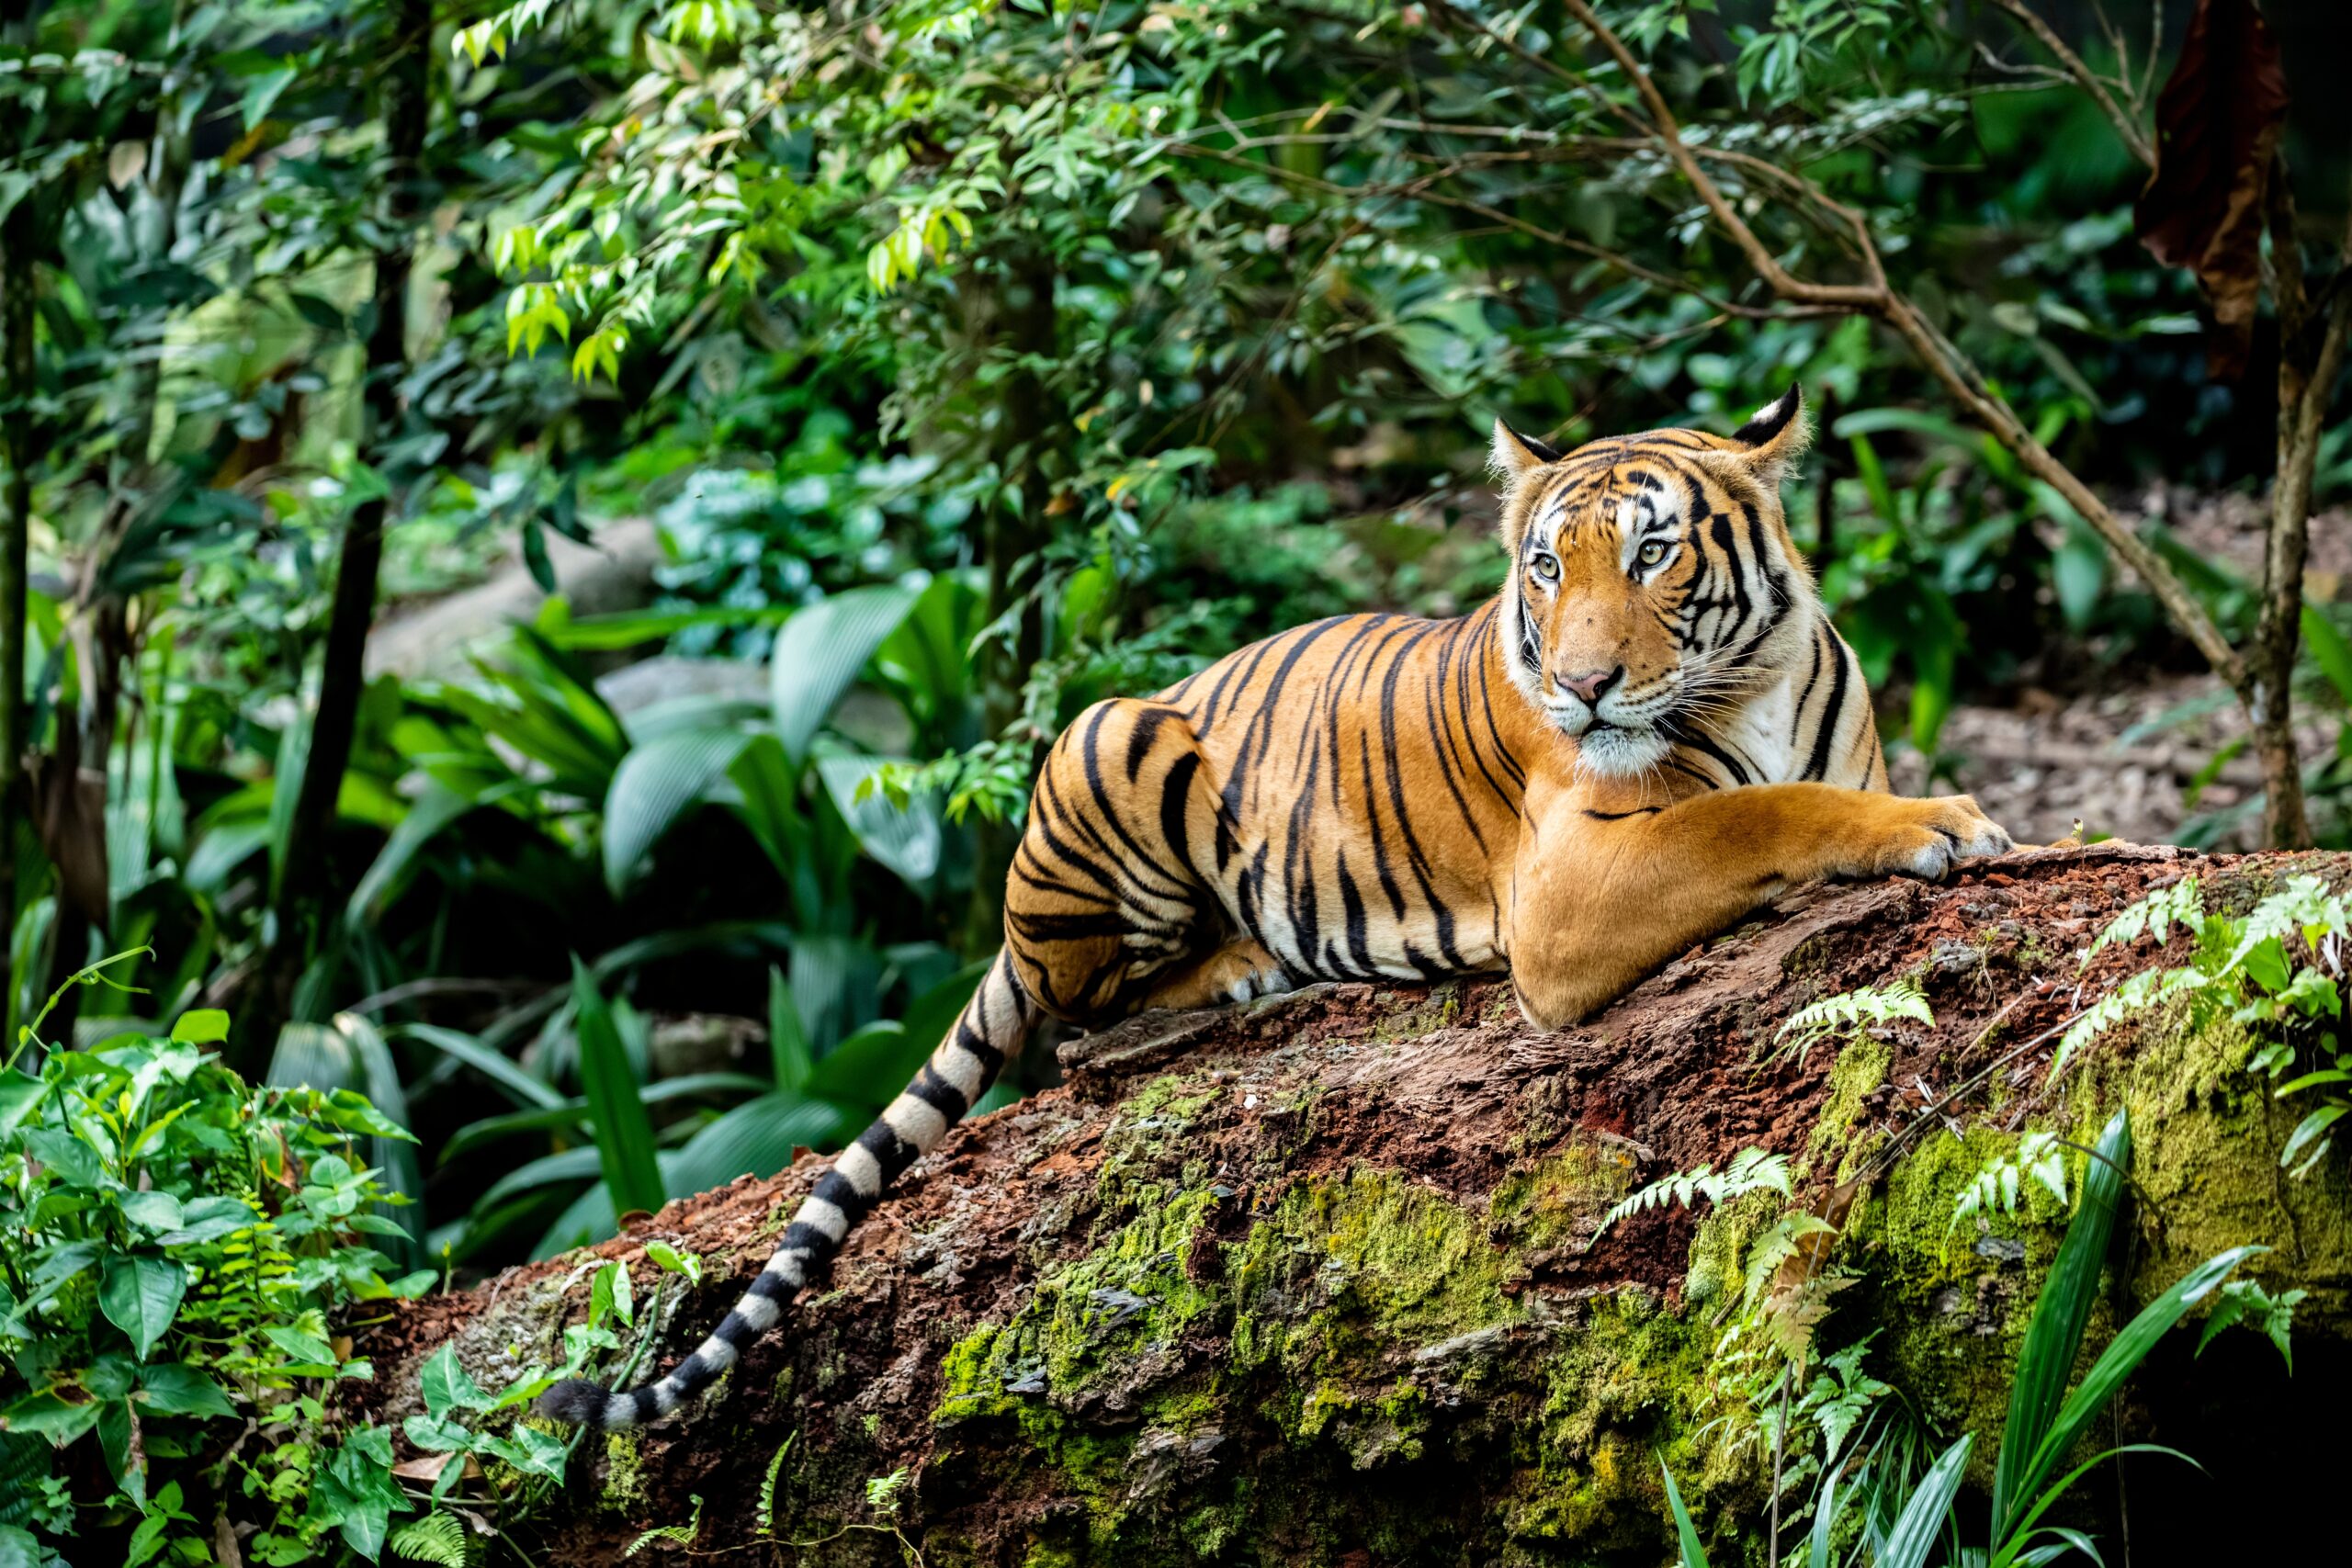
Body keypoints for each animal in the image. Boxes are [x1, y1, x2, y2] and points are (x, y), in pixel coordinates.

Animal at [540, 389, 2013, 1438]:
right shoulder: (1572, 880)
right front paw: (1942, 822)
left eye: (1653, 553)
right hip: (1110, 738)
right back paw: (1237, 971)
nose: (1584, 686)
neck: (1750, 682)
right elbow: (1758, 815)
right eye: (1545, 568)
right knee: (1077, 1018)